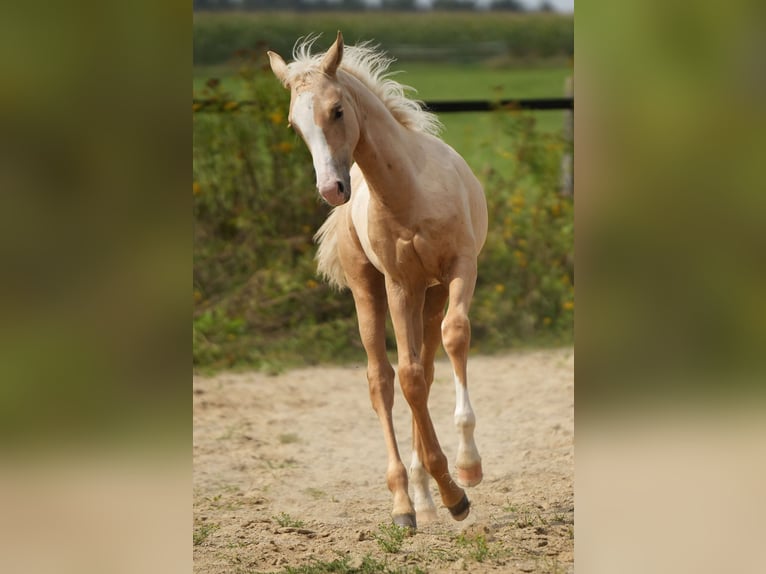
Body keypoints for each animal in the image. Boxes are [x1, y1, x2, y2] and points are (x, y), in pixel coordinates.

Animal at [268, 32, 488, 530]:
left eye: (337, 110)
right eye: (294, 125)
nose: (331, 189)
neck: (410, 193)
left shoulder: (460, 268)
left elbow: (453, 339)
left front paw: (467, 468)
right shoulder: (399, 284)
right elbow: (405, 379)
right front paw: (453, 490)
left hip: (431, 293)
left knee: (425, 368)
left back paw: (426, 496)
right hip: (370, 291)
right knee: (382, 380)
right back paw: (407, 503)